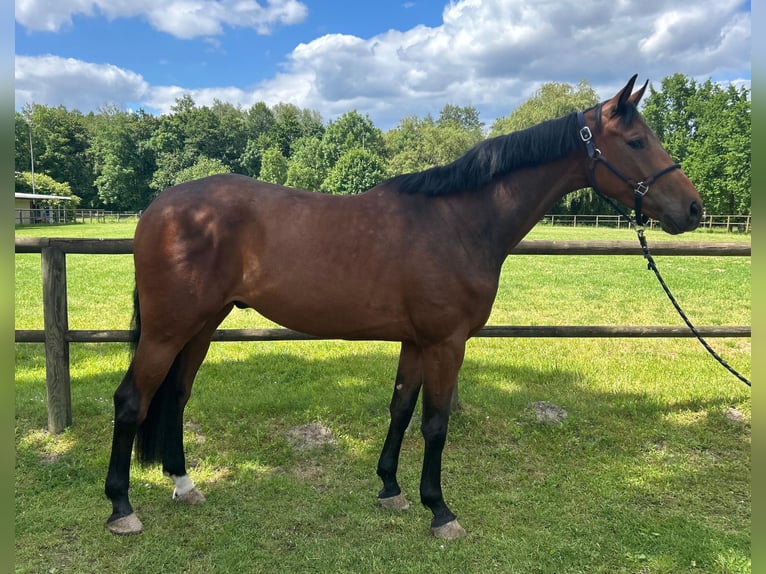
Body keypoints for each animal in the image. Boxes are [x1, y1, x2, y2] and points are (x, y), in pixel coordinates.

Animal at [105, 75, 703, 539]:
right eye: (635, 140)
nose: (694, 208)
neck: (458, 221)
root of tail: (158, 208)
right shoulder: (446, 343)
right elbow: (435, 423)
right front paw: (439, 510)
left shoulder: (417, 341)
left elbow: (399, 408)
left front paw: (390, 488)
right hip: (168, 329)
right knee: (132, 400)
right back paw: (121, 509)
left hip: (202, 325)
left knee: (176, 396)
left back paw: (184, 485)